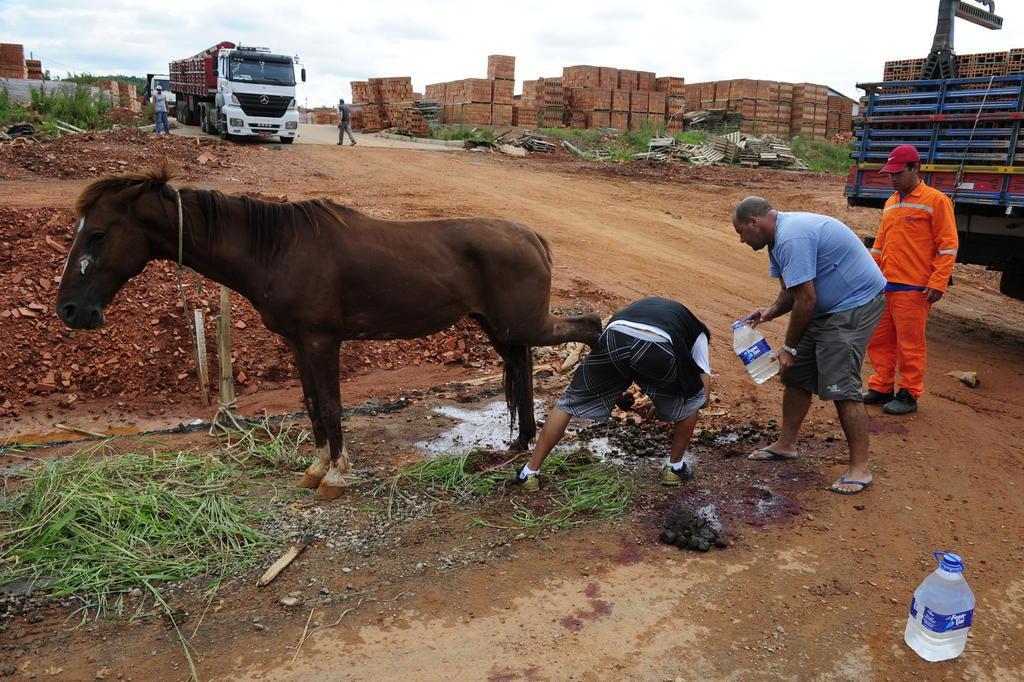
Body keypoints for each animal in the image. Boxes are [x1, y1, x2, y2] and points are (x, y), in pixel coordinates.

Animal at [56, 163, 598, 493]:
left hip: (524, 322)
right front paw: (315, 468)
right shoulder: (298, 343)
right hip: (500, 326)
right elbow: (313, 405)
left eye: (98, 234)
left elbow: (333, 407)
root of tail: (532, 235)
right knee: (523, 368)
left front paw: (335, 476)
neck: (277, 250)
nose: (70, 310)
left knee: (591, 328)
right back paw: (521, 441)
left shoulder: (322, 341)